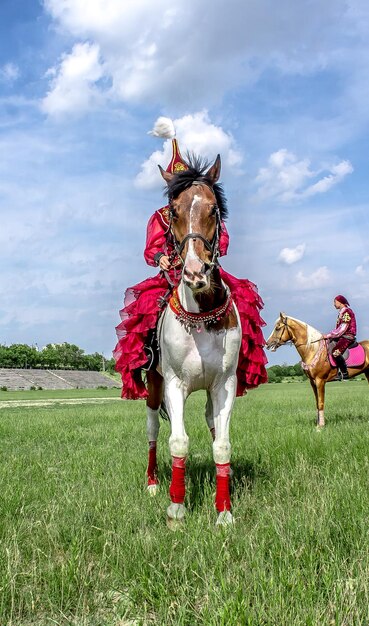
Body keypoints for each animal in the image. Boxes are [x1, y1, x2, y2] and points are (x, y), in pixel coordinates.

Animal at [144, 154, 242, 524]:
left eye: (214, 209)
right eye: (173, 212)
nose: (195, 272)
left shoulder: (225, 384)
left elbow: (222, 444)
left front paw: (224, 512)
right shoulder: (174, 383)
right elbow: (178, 442)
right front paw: (176, 508)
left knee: (213, 425)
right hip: (153, 386)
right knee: (153, 432)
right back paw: (152, 483)